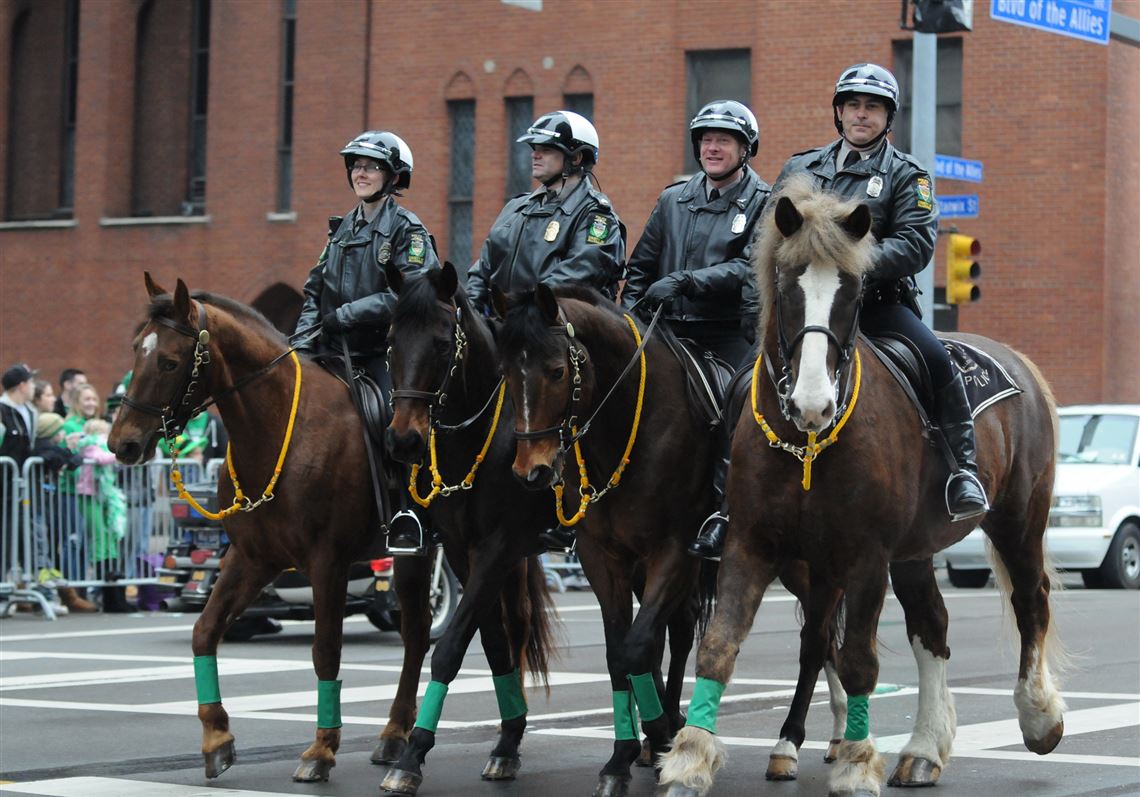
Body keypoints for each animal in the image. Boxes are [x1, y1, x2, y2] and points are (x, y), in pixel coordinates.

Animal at [107, 274, 513, 784]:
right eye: (134, 350)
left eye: (170, 361)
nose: (121, 443)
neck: (280, 427)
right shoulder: (252, 558)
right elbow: (205, 630)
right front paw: (217, 738)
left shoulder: (328, 563)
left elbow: (326, 650)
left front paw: (320, 750)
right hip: (413, 555)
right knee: (419, 633)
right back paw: (394, 735)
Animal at [378, 263, 560, 797]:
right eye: (391, 341)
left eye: (442, 343)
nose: (402, 440)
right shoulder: (465, 549)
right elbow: (493, 641)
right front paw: (508, 741)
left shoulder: (498, 546)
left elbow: (451, 646)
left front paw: (412, 756)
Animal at [656, 175, 1062, 797]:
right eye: (786, 286)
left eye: (852, 290)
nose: (812, 404)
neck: (807, 446)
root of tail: (1018, 361)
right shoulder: (749, 543)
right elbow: (720, 645)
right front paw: (689, 757)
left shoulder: (866, 555)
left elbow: (858, 662)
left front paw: (853, 762)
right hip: (914, 550)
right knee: (932, 625)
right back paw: (923, 750)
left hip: (1018, 518)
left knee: (1030, 599)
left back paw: (1038, 717)